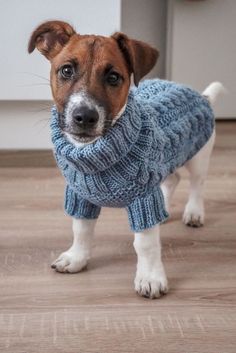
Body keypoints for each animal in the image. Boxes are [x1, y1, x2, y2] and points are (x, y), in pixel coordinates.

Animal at [27, 20, 223, 298]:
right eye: (66, 70)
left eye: (113, 77)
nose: (84, 117)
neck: (95, 153)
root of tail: (201, 95)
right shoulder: (81, 194)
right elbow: (81, 230)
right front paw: (77, 258)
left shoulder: (143, 198)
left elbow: (145, 243)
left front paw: (150, 277)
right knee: (172, 178)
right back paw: (165, 207)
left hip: (197, 155)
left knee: (197, 184)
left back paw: (194, 213)